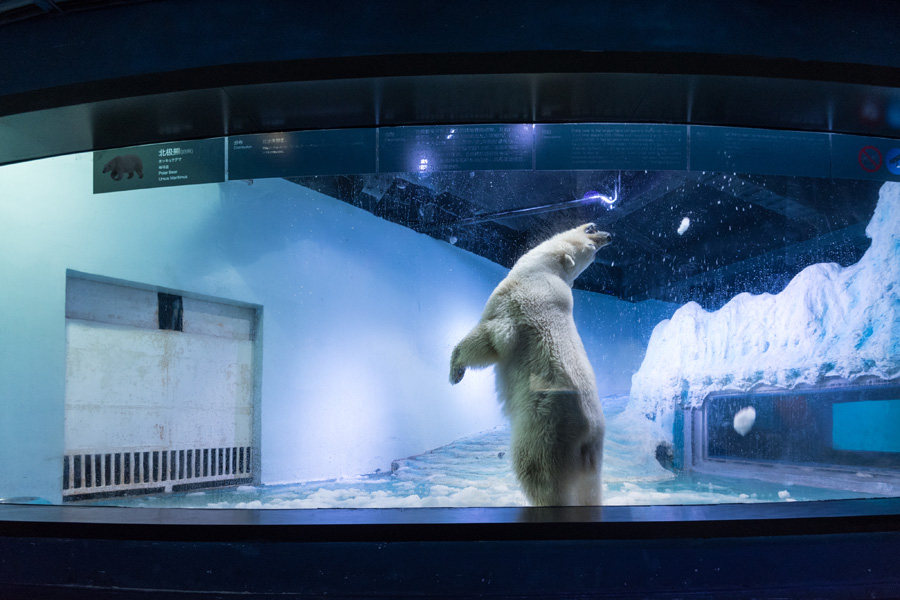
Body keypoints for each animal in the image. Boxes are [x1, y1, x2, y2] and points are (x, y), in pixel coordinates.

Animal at [450, 223, 612, 504]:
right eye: (593, 248)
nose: (607, 236)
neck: (543, 271)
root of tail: (589, 437)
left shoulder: (514, 305)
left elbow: (489, 339)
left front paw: (455, 371)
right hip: (591, 458)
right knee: (589, 491)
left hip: (544, 431)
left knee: (538, 475)